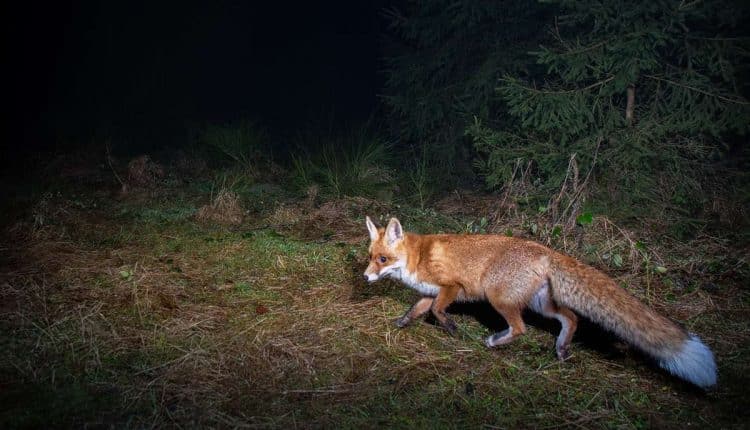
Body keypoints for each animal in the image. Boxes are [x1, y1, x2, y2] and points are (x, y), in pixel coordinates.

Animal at [363, 216, 717, 389]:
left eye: (383, 259)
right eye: (369, 257)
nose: (365, 278)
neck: (416, 258)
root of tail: (547, 250)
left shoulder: (451, 286)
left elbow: (438, 312)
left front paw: (450, 327)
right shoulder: (429, 292)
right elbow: (416, 311)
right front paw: (401, 324)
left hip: (499, 299)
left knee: (521, 329)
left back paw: (496, 341)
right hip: (541, 304)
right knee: (571, 318)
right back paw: (560, 349)